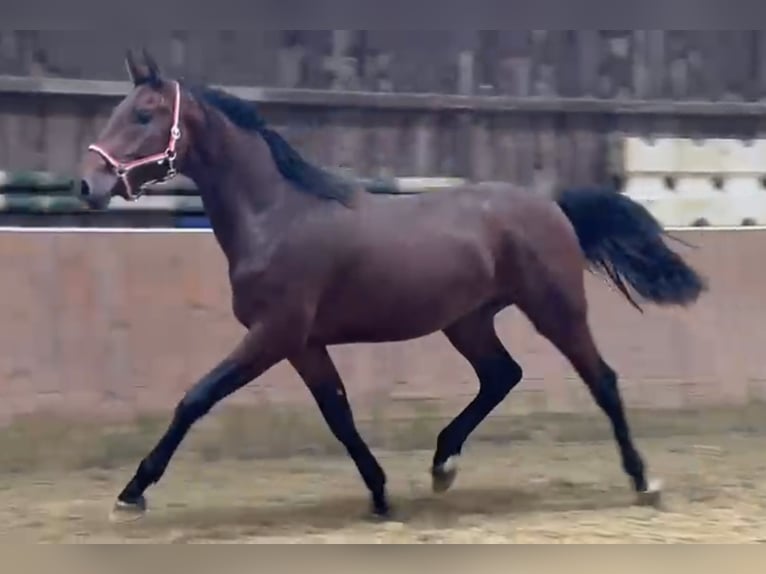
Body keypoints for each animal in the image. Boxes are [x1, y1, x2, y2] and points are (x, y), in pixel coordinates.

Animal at [78, 49, 707, 521]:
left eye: (144, 115)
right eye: (120, 109)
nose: (89, 185)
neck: (276, 215)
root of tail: (551, 205)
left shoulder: (273, 334)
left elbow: (196, 397)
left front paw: (130, 494)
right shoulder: (304, 344)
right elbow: (338, 413)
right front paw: (381, 495)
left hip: (555, 309)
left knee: (602, 380)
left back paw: (644, 481)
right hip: (468, 320)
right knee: (501, 375)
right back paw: (442, 465)